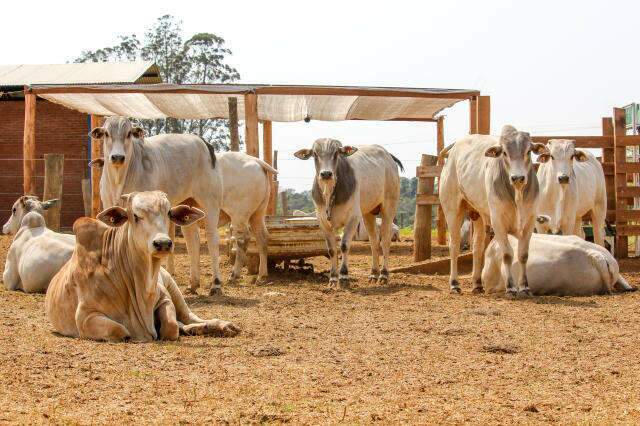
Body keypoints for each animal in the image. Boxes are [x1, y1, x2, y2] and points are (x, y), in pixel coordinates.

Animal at [45, 191, 239, 342]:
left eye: (169, 213)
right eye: (135, 216)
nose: (163, 243)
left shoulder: (165, 297)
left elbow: (171, 327)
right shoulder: (86, 316)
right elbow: (121, 330)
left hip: (173, 286)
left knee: (188, 318)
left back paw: (222, 326)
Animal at [294, 138, 402, 288]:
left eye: (336, 153)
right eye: (315, 154)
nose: (326, 174)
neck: (330, 192)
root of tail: (388, 156)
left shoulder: (353, 218)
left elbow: (344, 246)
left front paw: (344, 276)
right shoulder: (322, 221)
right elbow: (331, 249)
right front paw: (333, 278)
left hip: (389, 207)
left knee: (385, 241)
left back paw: (383, 275)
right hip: (368, 213)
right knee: (374, 242)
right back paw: (373, 274)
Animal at [440, 124, 552, 296]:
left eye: (528, 151)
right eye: (504, 152)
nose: (518, 178)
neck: (517, 194)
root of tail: (455, 147)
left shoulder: (529, 221)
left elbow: (523, 255)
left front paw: (525, 287)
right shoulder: (498, 221)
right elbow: (507, 254)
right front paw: (510, 287)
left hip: (478, 215)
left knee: (477, 246)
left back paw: (477, 284)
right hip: (452, 209)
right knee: (454, 245)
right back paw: (454, 284)